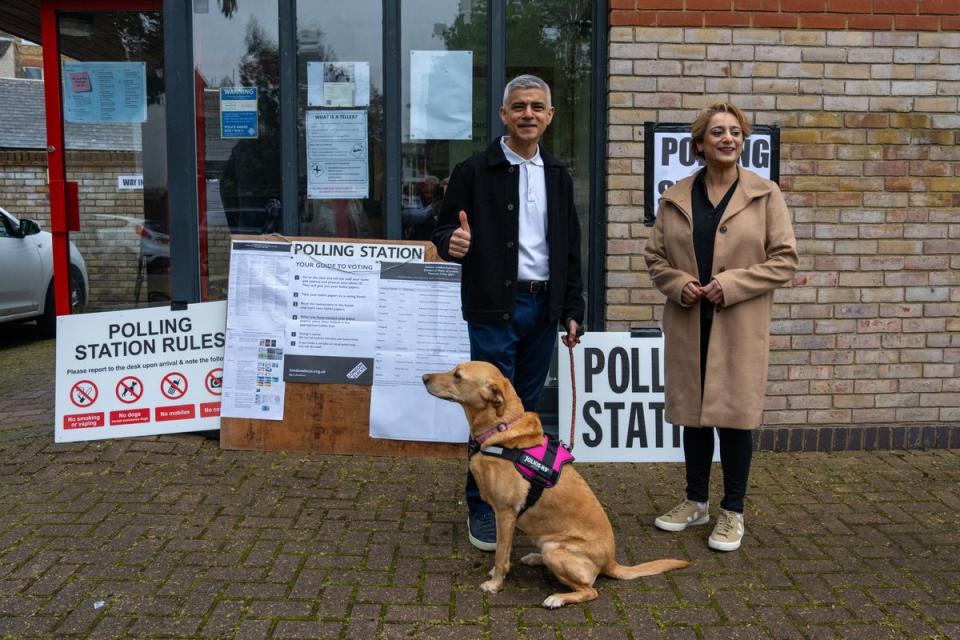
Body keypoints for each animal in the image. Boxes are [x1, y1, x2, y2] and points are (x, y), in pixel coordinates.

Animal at [422, 362, 688, 608]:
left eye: (457, 375)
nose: (423, 377)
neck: (502, 429)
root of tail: (611, 562)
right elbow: (503, 551)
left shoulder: (505, 514)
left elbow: (500, 555)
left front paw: (495, 584)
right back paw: (534, 558)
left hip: (555, 548)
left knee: (591, 590)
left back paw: (557, 598)